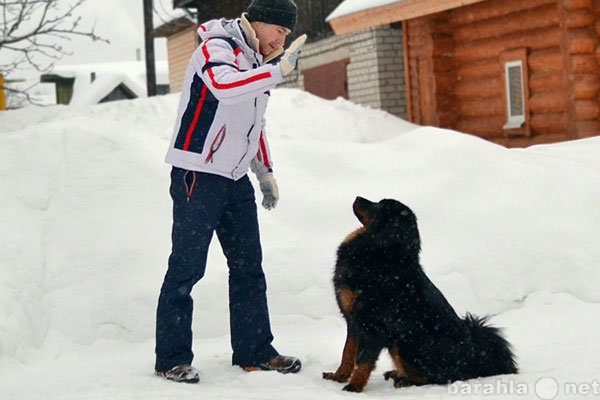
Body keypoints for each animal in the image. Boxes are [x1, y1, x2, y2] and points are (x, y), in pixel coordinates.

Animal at [324, 196, 516, 390]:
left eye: (379, 206)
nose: (357, 197)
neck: (381, 254)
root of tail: (472, 356)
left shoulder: (372, 324)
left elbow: (363, 361)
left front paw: (354, 387)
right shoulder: (353, 321)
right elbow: (347, 353)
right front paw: (339, 376)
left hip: (405, 341)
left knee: (437, 377)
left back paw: (405, 380)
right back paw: (397, 374)